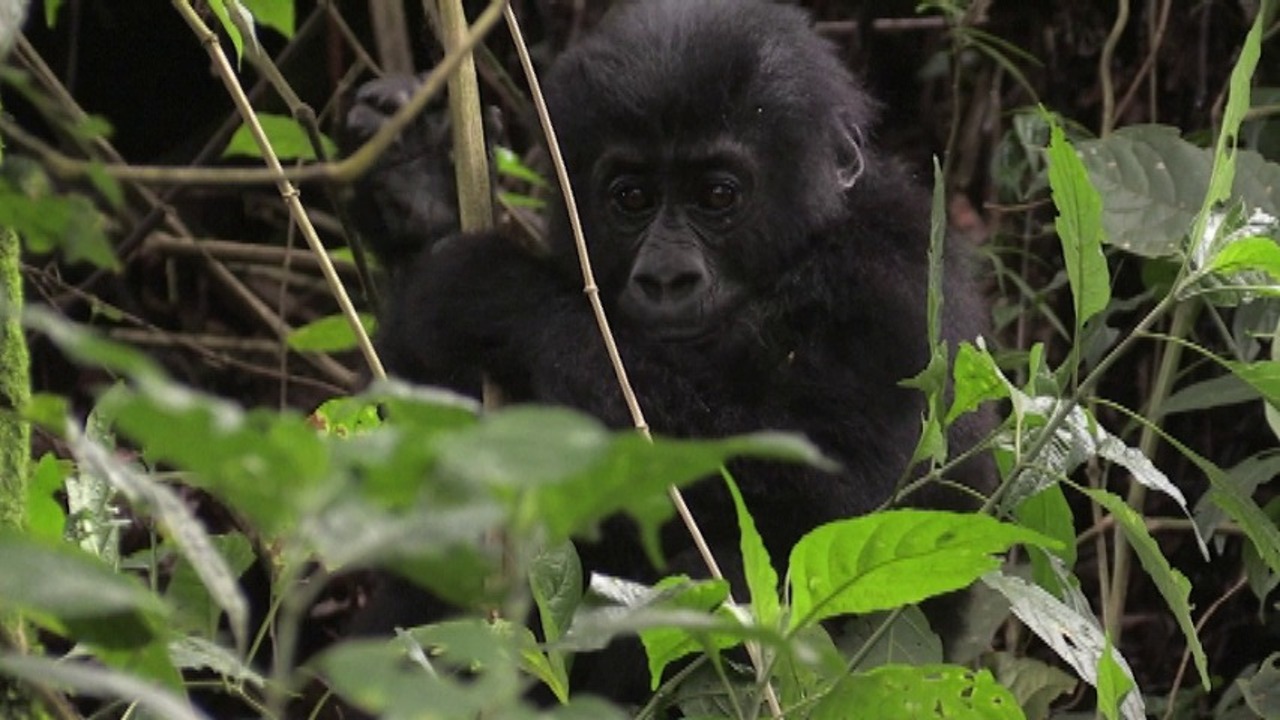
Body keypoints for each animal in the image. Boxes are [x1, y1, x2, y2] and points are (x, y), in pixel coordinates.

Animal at [345, 0, 993, 702]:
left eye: (718, 195)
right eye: (631, 197)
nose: (666, 278)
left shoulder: (891, 290)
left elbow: (846, 492)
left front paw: (499, 292)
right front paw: (418, 186)